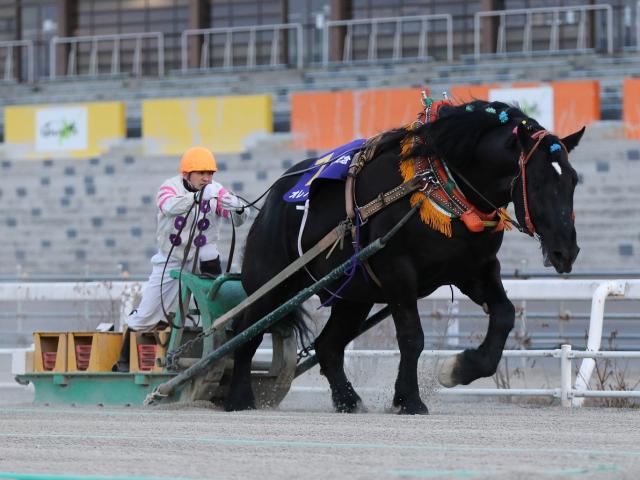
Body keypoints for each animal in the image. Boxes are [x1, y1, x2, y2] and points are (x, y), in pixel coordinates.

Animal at [225, 99, 584, 414]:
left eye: (573, 180)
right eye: (537, 182)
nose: (566, 250)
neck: (435, 182)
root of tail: (274, 197)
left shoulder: (475, 270)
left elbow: (505, 315)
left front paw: (458, 369)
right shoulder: (398, 273)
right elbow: (412, 337)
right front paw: (409, 399)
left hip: (354, 294)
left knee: (328, 346)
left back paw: (348, 400)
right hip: (271, 282)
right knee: (245, 332)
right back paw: (238, 397)